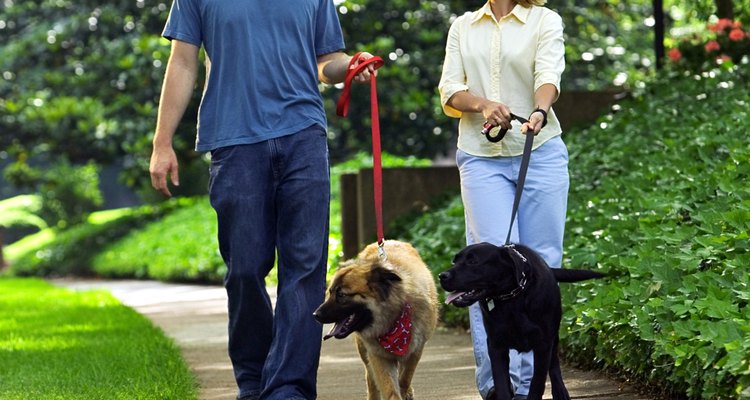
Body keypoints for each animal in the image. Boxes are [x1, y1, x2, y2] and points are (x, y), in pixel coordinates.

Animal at [312, 241, 440, 400]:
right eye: (330, 292)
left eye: (341, 295)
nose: (315, 314)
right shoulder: (377, 355)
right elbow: (389, 388)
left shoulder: (416, 349)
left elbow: (405, 378)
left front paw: (405, 390)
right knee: (370, 378)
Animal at [440, 242, 604, 400]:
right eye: (454, 261)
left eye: (472, 261)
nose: (442, 276)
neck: (512, 298)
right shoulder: (496, 345)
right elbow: (501, 382)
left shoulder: (543, 344)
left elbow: (537, 383)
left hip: (554, 336)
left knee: (554, 362)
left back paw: (560, 391)